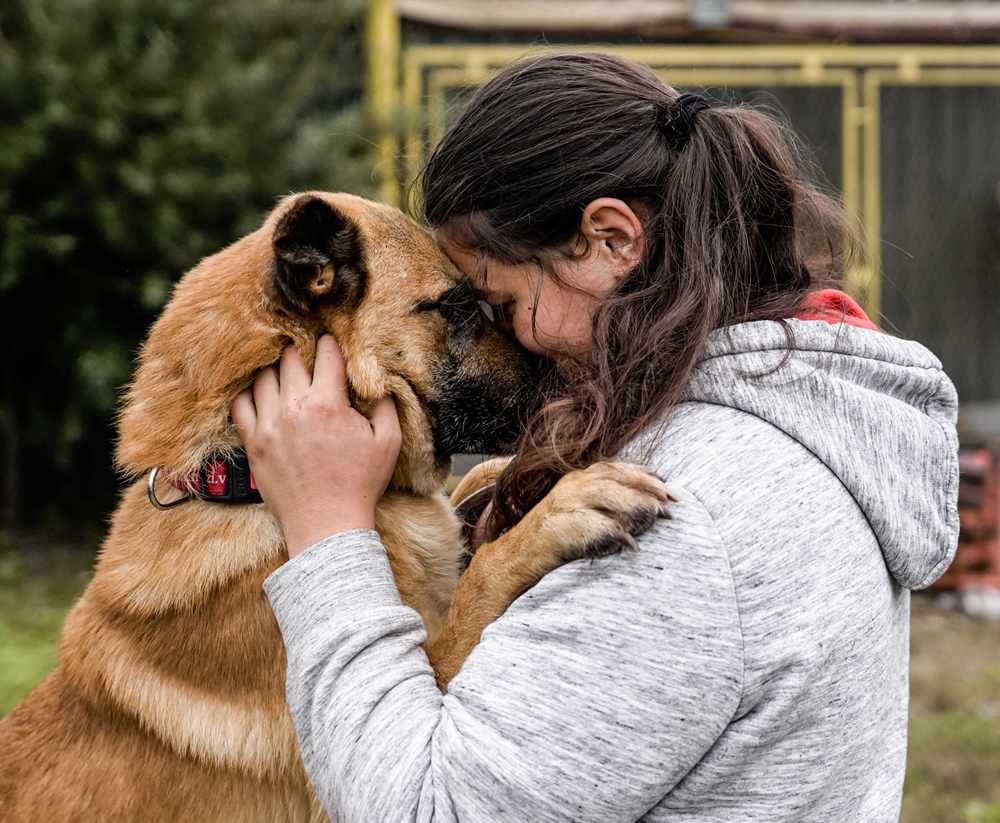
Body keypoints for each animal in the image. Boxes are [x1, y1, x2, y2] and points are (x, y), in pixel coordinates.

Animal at [1, 195, 672, 823]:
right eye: (457, 307)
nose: (567, 384)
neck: (237, 477)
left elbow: (469, 491)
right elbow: (480, 579)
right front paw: (564, 510)